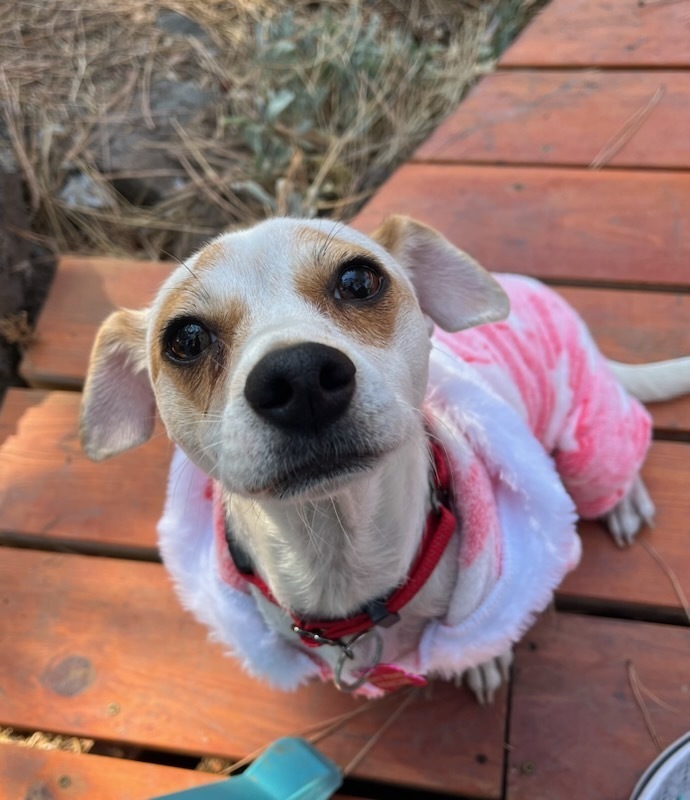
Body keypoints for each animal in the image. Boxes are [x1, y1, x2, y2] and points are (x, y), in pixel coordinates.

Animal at [78, 217, 688, 700]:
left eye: (358, 280)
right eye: (185, 339)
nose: (299, 377)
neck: (342, 563)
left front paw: (483, 659)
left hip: (586, 429)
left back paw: (623, 500)